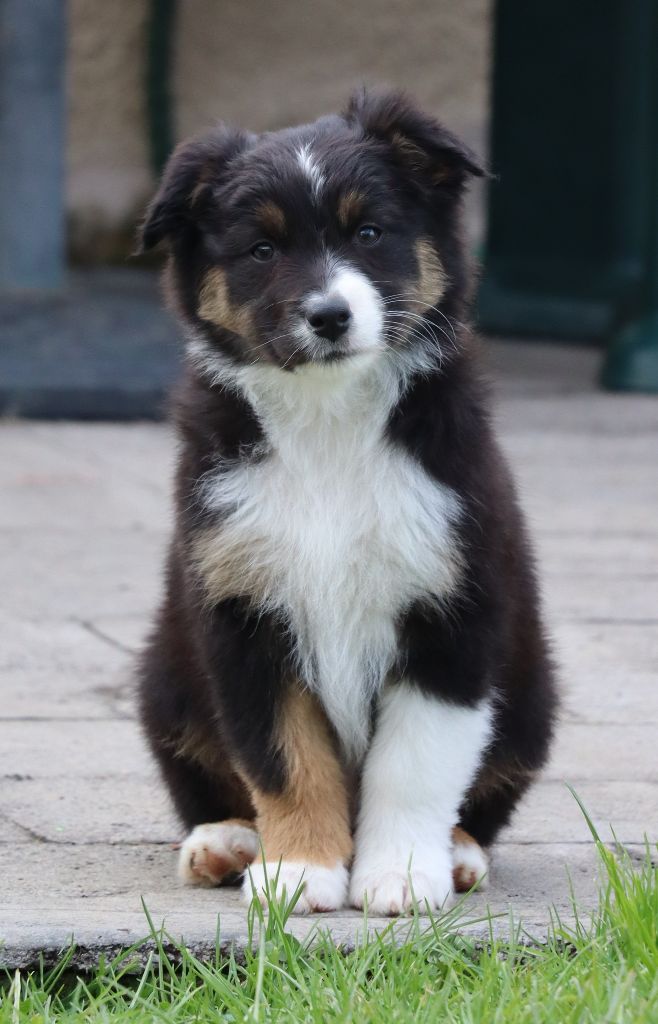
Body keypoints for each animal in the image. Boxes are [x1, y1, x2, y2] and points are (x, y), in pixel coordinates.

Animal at [138, 92, 556, 917]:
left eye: (369, 233)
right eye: (262, 250)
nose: (328, 315)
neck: (328, 420)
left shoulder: (454, 608)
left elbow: (416, 763)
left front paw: (401, 877)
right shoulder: (242, 612)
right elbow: (283, 757)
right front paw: (299, 872)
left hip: (532, 692)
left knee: (485, 794)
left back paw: (460, 854)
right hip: (164, 675)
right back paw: (226, 842)